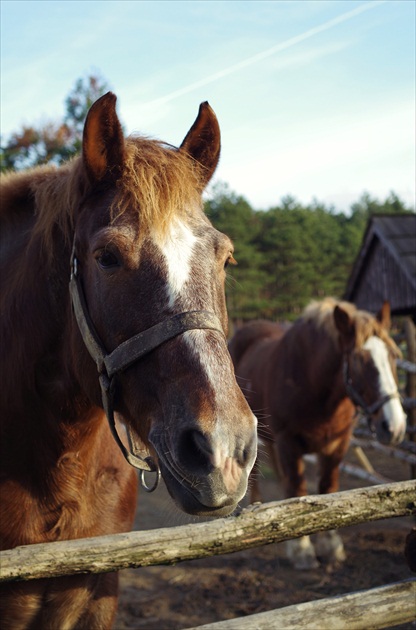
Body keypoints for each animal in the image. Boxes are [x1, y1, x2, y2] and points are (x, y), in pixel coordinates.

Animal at [228, 298, 406, 572]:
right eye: (359, 359)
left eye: (394, 356)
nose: (394, 427)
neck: (312, 384)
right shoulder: (289, 444)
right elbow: (297, 490)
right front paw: (301, 550)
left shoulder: (337, 446)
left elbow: (327, 489)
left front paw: (330, 546)